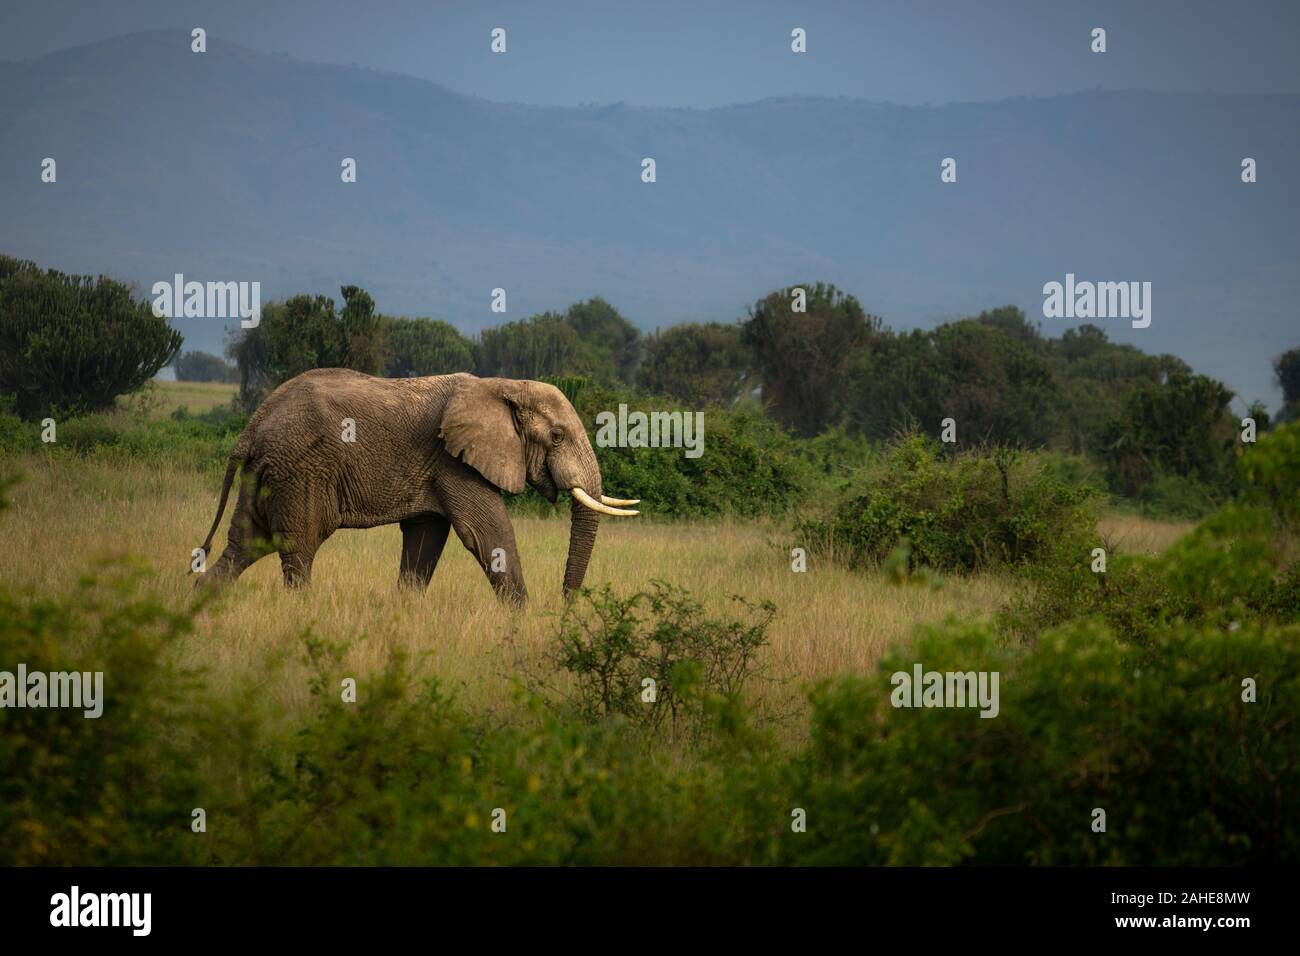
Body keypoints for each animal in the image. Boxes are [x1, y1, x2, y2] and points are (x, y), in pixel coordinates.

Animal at [193, 369, 639, 600]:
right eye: (557, 437)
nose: (566, 605)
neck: (502, 385)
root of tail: (253, 425)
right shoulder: (453, 461)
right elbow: (487, 533)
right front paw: (523, 618)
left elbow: (426, 538)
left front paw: (404, 611)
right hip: (300, 472)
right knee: (298, 548)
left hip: (268, 473)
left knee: (247, 544)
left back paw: (200, 597)